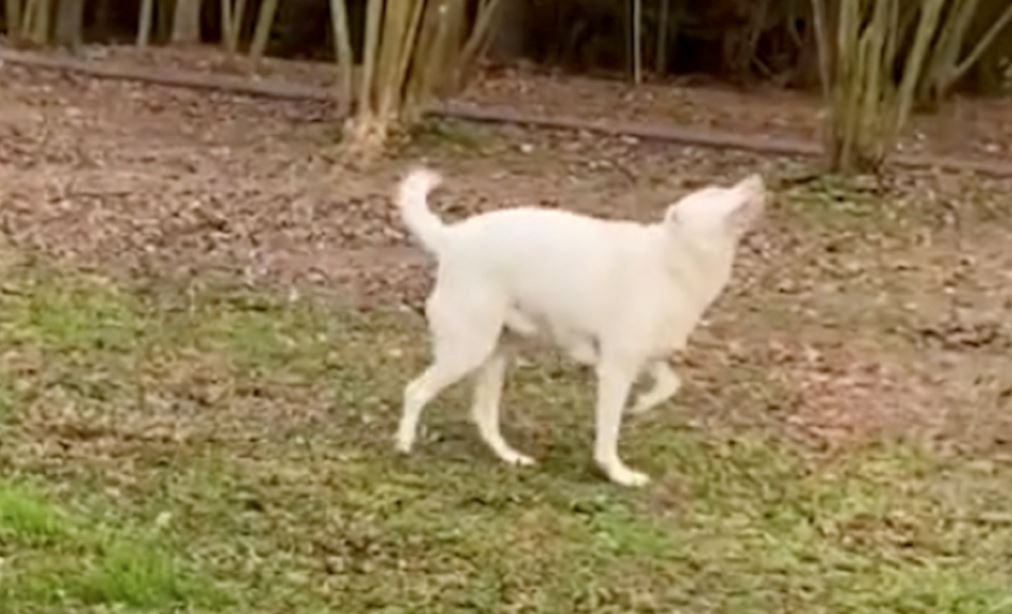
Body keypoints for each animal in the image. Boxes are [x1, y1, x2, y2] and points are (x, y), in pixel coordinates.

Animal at [390, 166, 761, 485]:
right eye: (716, 194)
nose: (757, 179)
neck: (672, 259)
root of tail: (451, 239)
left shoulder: (645, 356)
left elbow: (670, 384)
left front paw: (642, 404)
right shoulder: (615, 369)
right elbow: (609, 432)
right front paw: (617, 472)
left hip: (497, 353)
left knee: (483, 416)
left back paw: (510, 457)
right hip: (468, 349)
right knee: (415, 391)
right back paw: (404, 444)